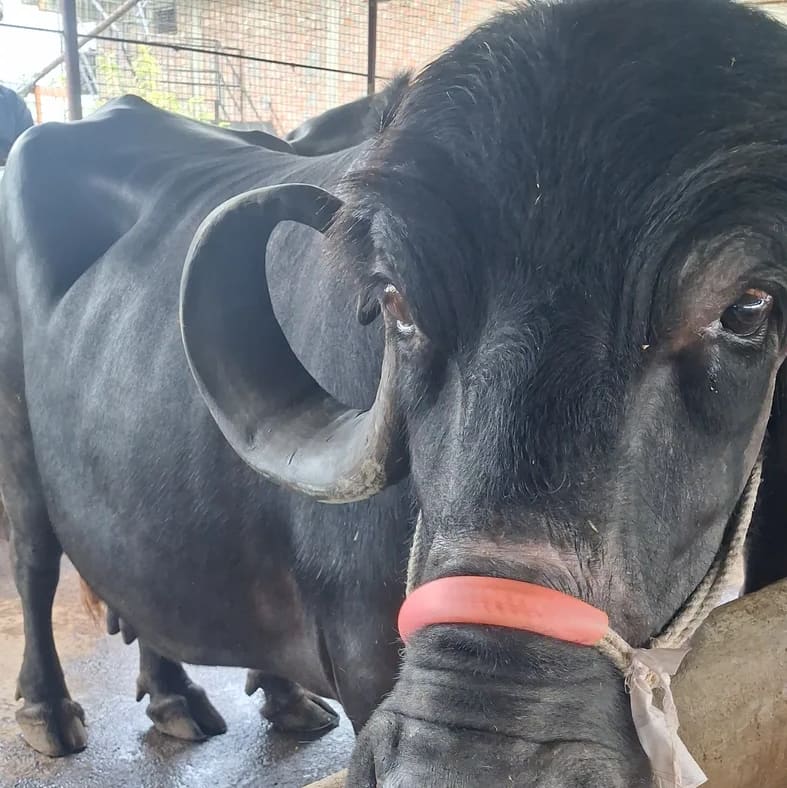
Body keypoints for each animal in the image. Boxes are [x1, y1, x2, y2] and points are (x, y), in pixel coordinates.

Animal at [2, 0, 787, 785]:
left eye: (748, 310)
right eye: (396, 303)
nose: (470, 762)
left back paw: (208, 697)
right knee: (36, 561)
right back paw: (50, 710)